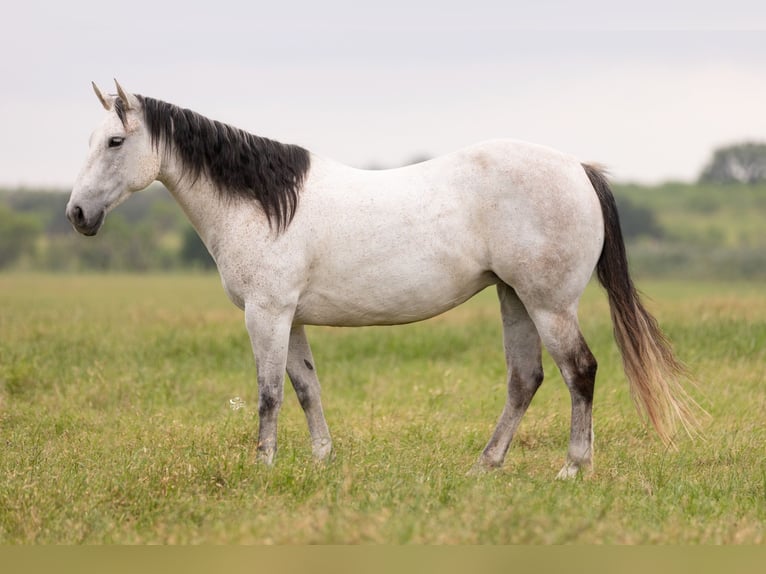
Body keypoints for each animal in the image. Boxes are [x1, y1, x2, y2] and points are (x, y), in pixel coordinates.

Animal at [69, 79, 700, 480]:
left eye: (116, 142)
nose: (76, 214)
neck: (265, 204)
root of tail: (578, 168)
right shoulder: (290, 317)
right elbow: (307, 387)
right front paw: (321, 461)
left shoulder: (266, 313)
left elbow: (269, 393)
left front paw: (263, 468)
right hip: (515, 298)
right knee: (526, 379)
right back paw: (485, 465)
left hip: (550, 304)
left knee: (580, 372)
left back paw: (573, 467)